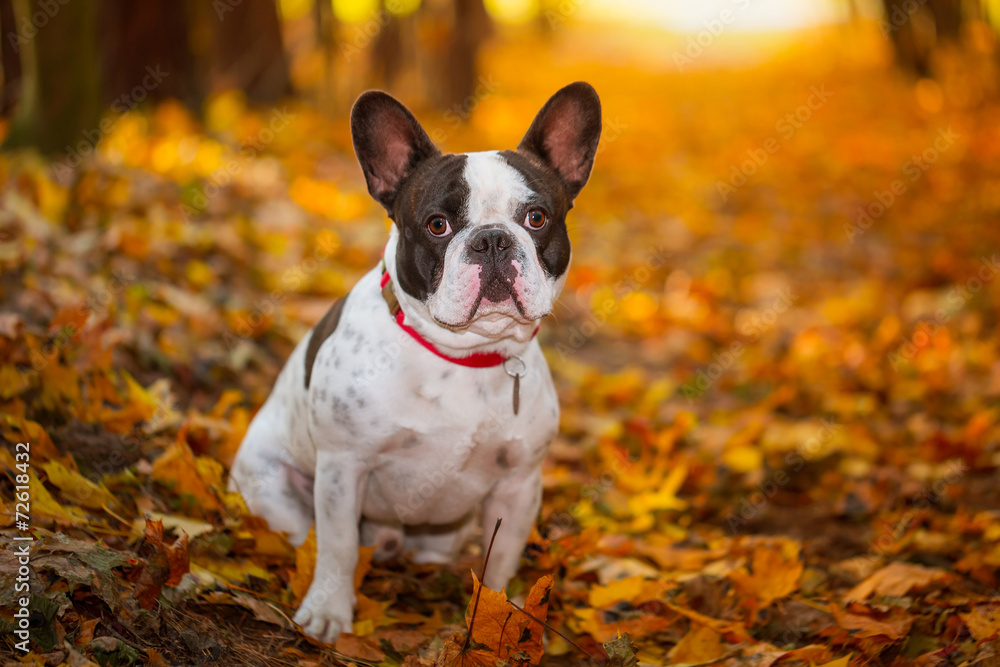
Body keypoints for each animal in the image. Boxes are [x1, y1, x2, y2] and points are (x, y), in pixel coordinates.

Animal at [228, 81, 600, 644]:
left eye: (536, 219)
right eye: (437, 225)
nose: (493, 238)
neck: (465, 357)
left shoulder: (518, 487)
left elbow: (500, 562)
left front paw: (494, 621)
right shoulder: (343, 468)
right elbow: (337, 546)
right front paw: (329, 611)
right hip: (272, 490)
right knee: (307, 536)